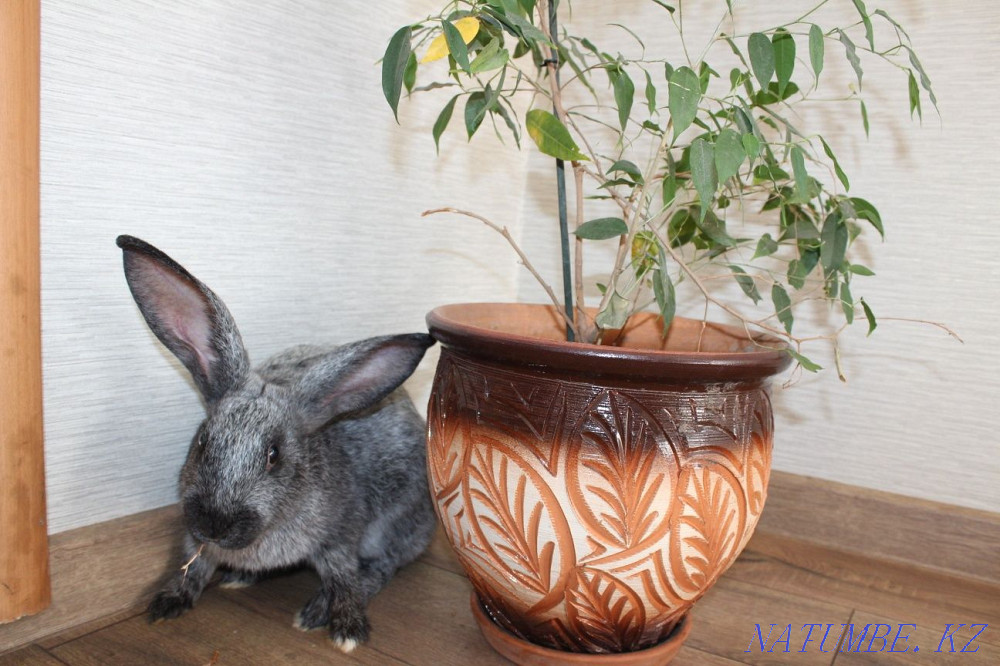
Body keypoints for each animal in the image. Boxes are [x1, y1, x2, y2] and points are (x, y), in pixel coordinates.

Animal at [116, 235, 437, 652]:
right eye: (202, 441)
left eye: (274, 455)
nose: (214, 525)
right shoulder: (195, 541)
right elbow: (194, 566)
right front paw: (169, 602)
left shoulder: (340, 537)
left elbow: (345, 580)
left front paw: (347, 629)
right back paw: (242, 578)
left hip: (393, 521)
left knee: (382, 567)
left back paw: (315, 610)